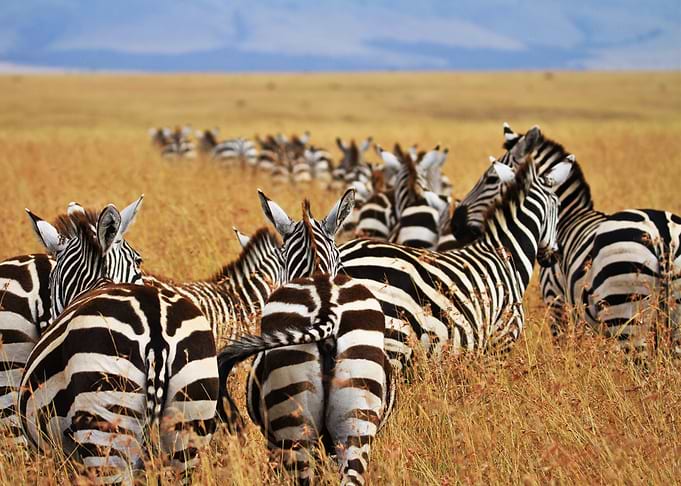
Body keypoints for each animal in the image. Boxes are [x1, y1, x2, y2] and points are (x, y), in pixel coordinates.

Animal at [18, 204, 218, 482]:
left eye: (51, 281)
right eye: (139, 261)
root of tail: (156, 335)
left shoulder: (63, 457)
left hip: (105, 431)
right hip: (189, 428)